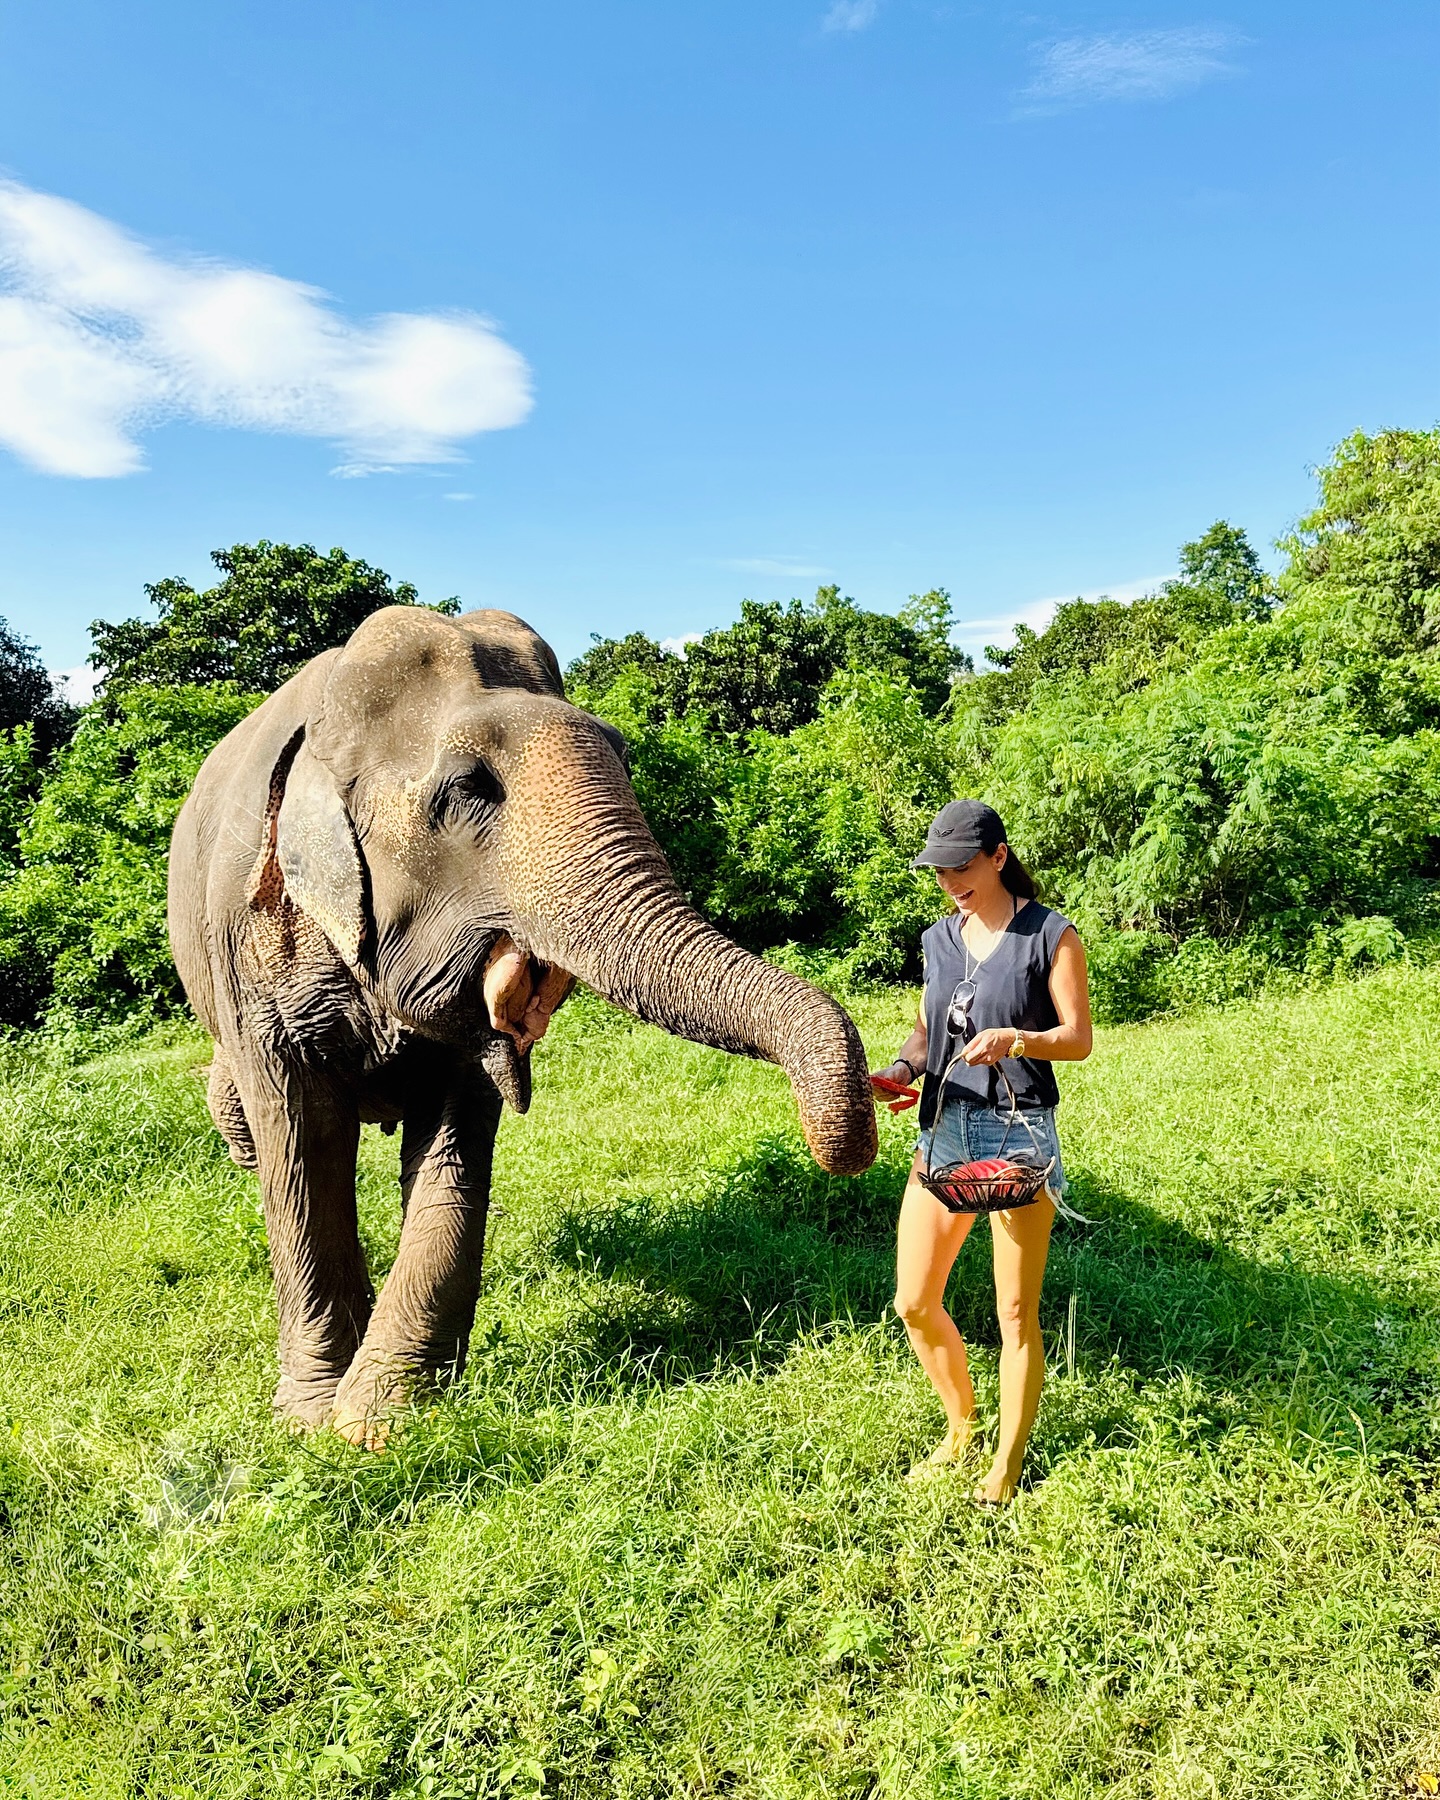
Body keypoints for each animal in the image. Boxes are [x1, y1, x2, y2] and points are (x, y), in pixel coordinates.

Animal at [169, 604, 878, 1447]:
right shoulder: (250, 956)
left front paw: (383, 1418)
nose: (849, 1146)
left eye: (624, 756)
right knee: (255, 1130)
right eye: (468, 788)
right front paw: (314, 1424)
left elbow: (455, 1142)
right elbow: (300, 1153)